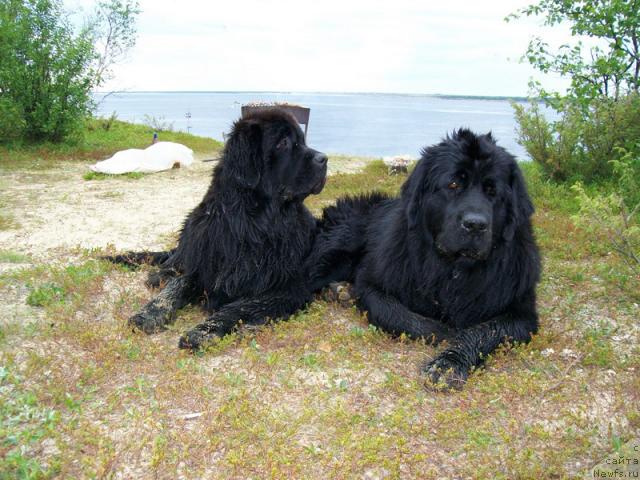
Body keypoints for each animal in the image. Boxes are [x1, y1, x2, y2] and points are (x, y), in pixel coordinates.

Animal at [312, 129, 544, 388]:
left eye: (493, 191)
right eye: (453, 184)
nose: (475, 224)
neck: (452, 268)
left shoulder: (521, 311)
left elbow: (485, 330)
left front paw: (449, 362)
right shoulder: (373, 282)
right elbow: (396, 313)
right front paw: (445, 333)